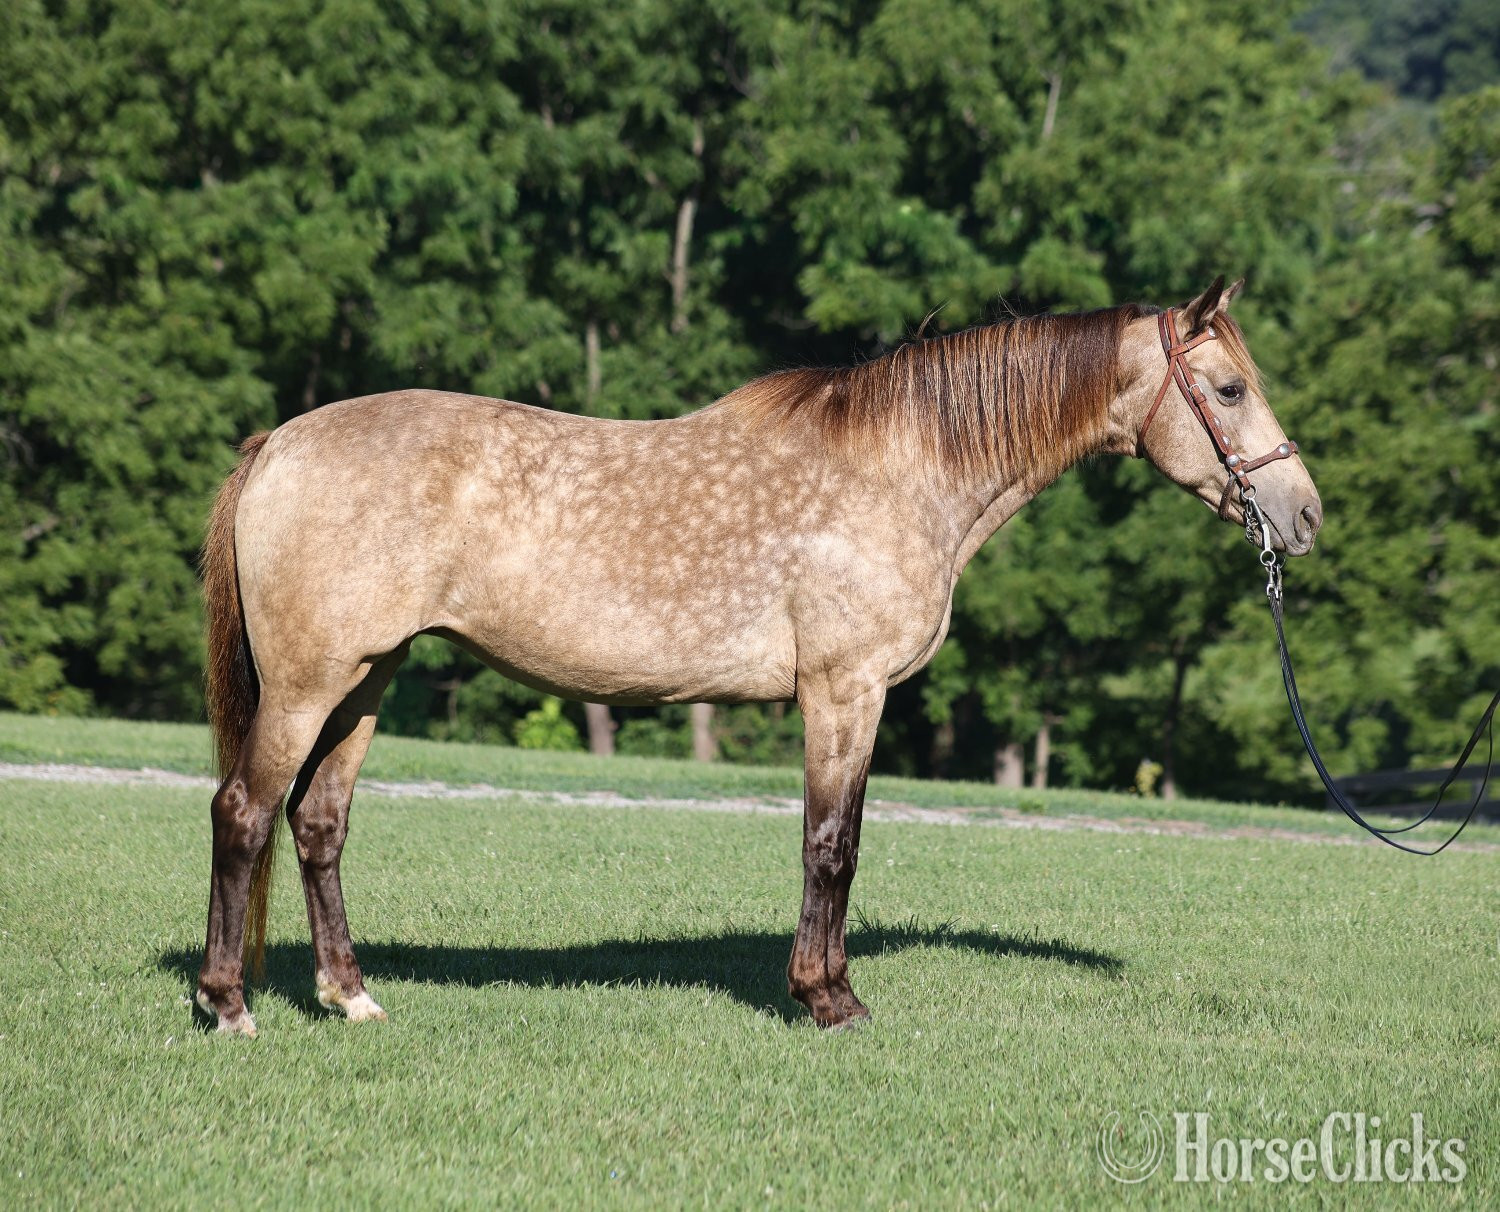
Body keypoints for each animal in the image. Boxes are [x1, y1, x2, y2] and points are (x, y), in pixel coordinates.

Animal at [194, 276, 1321, 1036]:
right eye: (1228, 390)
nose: (1304, 514)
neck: (900, 470)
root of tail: (279, 443)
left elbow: (840, 841)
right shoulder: (844, 690)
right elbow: (833, 844)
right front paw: (829, 999)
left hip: (366, 680)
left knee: (319, 823)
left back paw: (350, 996)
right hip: (308, 685)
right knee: (244, 812)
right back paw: (229, 1005)